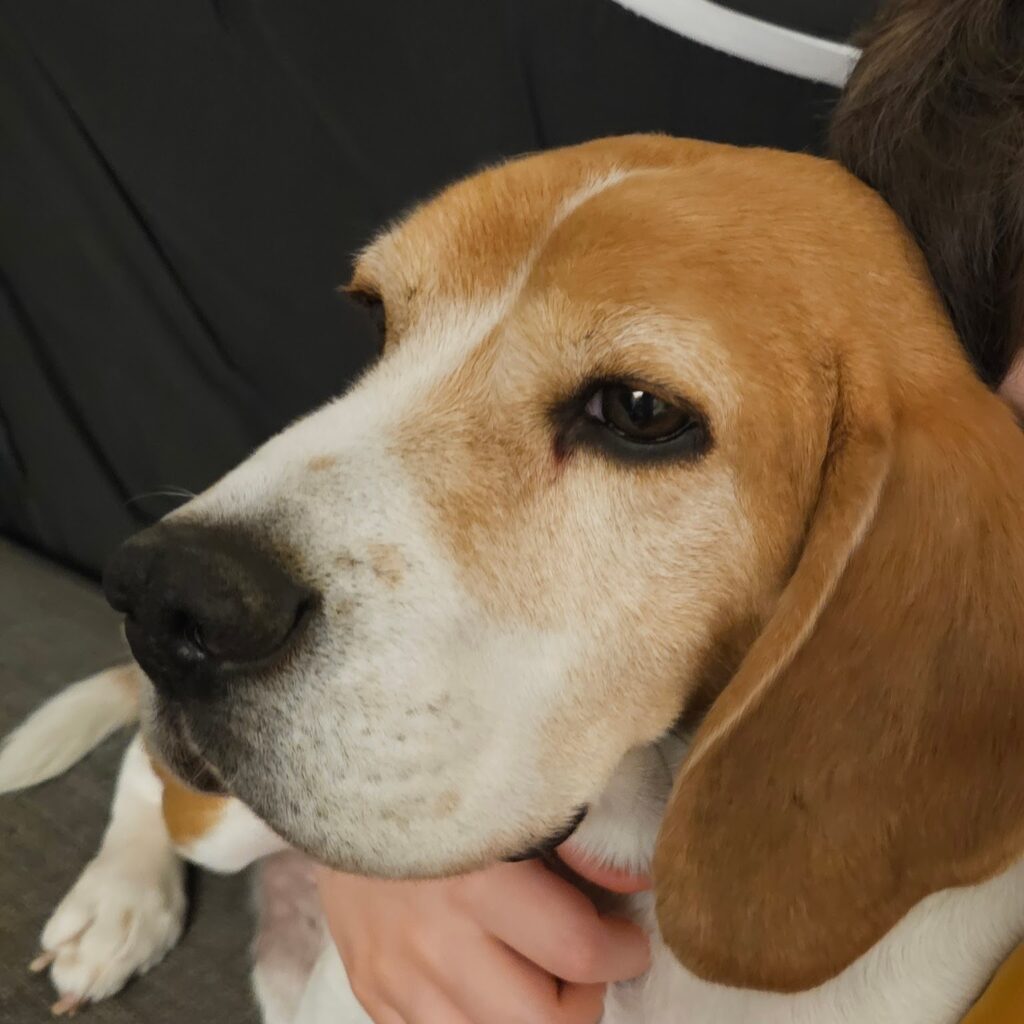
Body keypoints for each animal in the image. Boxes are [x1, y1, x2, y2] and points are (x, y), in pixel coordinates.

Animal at [4, 126, 1024, 1023]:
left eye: (640, 410)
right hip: (223, 821)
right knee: (150, 773)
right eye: (377, 318)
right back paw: (118, 904)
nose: (164, 598)